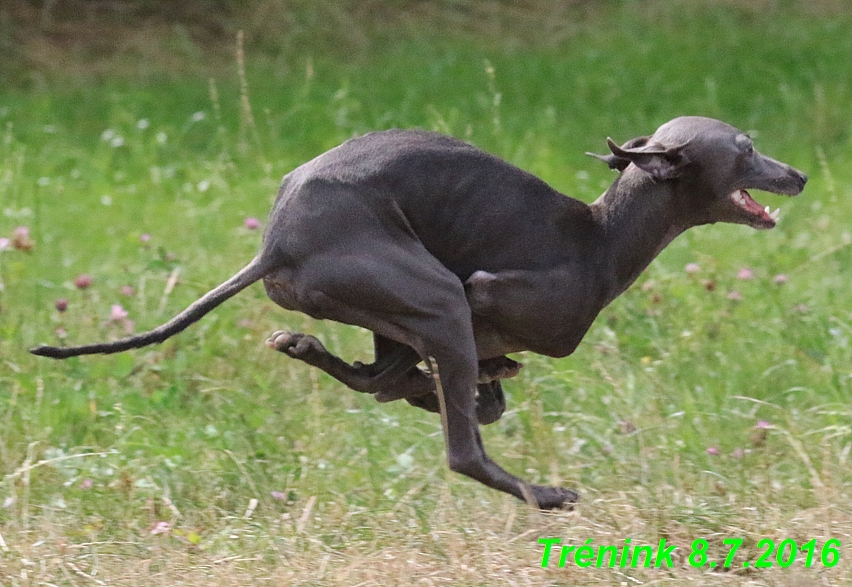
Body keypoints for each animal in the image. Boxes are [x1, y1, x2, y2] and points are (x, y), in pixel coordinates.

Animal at [33, 117, 804, 508]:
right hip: (435, 298)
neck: (601, 236)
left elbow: (442, 387)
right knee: (462, 450)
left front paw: (439, 388)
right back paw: (544, 493)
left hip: (392, 300)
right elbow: (470, 388)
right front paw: (453, 391)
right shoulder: (481, 292)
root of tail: (276, 241)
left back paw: (306, 349)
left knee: (375, 378)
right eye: (745, 149)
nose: (797, 174)